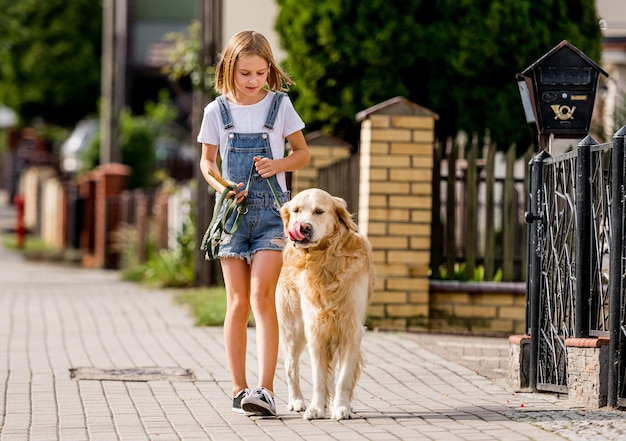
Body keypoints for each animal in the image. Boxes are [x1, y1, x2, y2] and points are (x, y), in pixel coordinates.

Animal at [276, 188, 372, 420]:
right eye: (296, 210)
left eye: (319, 211)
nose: (303, 227)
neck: (325, 260)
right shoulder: (315, 329)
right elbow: (318, 378)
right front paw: (316, 408)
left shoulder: (351, 330)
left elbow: (343, 377)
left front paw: (342, 407)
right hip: (293, 329)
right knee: (291, 367)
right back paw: (297, 401)